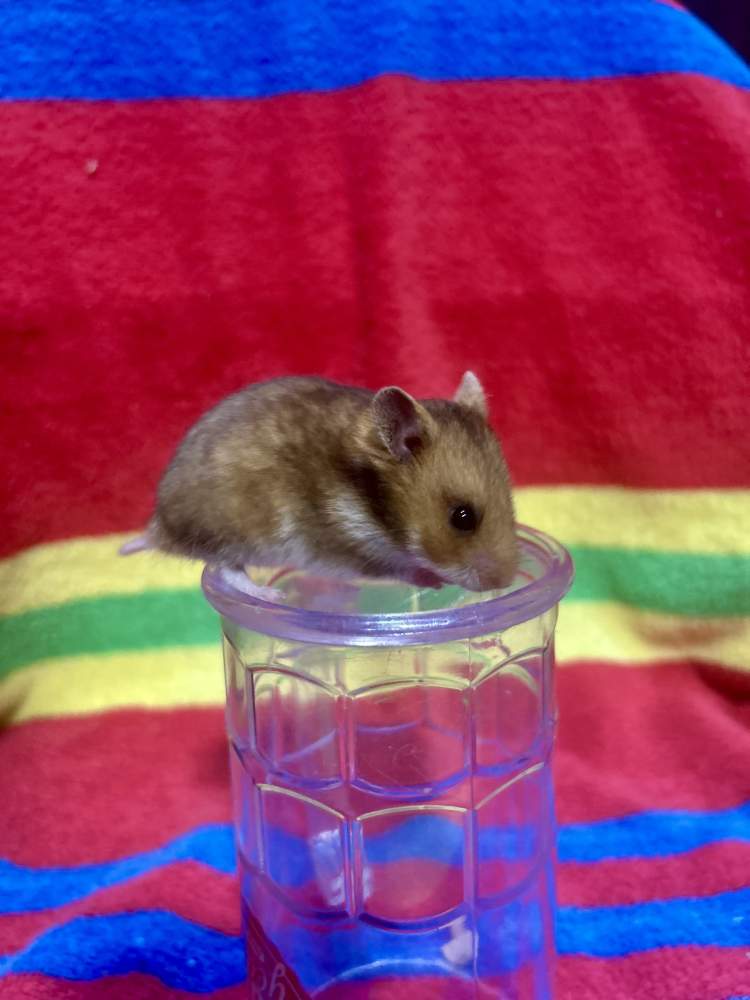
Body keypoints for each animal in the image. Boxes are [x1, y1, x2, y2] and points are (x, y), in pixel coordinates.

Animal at [120, 372, 519, 601]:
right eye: (462, 517)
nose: (505, 582)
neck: (368, 498)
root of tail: (159, 527)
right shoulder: (342, 548)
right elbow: (398, 569)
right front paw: (433, 581)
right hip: (235, 532)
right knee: (227, 569)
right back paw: (271, 595)